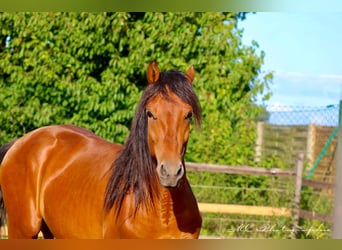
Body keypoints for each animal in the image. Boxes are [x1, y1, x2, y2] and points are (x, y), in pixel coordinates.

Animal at [0, 60, 203, 238]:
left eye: (188, 114)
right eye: (150, 113)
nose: (170, 172)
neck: (163, 211)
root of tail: (19, 143)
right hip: (23, 231)